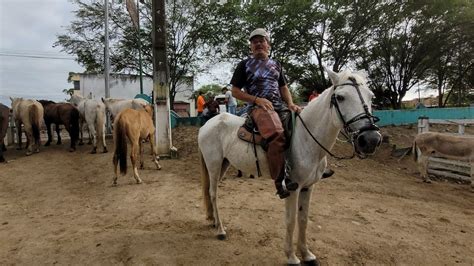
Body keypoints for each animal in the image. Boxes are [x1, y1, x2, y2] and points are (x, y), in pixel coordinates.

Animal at [198, 68, 384, 264]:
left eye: (371, 96)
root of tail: (207, 124)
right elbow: (291, 220)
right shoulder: (293, 188)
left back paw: (214, 222)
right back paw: (220, 230)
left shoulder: (308, 187)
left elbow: (303, 219)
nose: (370, 139)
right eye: (340, 97)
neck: (306, 138)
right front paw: (292, 256)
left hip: (224, 164)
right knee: (213, 193)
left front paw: (307, 254)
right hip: (213, 164)